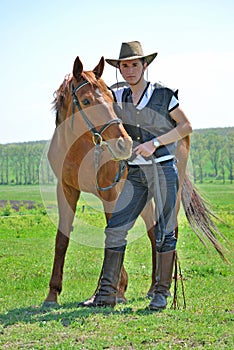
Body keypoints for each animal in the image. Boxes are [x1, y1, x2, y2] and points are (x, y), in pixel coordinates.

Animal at [43, 57, 225, 306]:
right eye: (87, 100)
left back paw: (164, 289)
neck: (79, 148)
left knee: (169, 230)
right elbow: (62, 239)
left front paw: (115, 292)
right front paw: (52, 295)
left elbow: (114, 236)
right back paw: (153, 287)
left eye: (112, 98)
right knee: (154, 232)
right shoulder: (66, 191)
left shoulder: (111, 195)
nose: (124, 144)